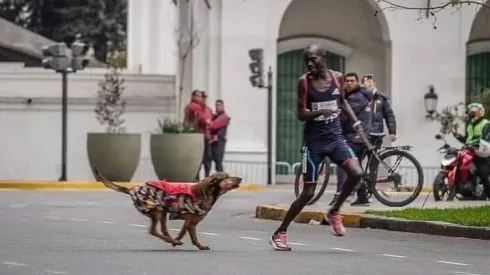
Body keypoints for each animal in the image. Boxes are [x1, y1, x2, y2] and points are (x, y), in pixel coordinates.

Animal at [93, 167, 242, 251]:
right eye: (226, 177)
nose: (240, 178)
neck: (206, 192)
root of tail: (132, 189)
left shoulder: (188, 221)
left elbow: (183, 232)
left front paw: (178, 240)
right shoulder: (192, 222)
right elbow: (194, 237)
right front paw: (200, 246)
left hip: (163, 212)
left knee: (163, 230)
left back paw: (172, 240)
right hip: (157, 210)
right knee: (153, 231)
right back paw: (172, 240)